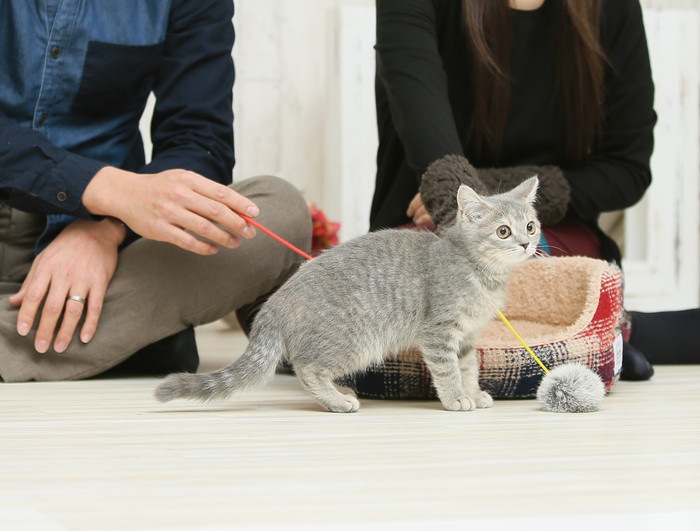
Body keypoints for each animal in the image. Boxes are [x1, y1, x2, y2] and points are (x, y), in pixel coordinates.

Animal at [156, 177, 540, 414]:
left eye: (530, 226)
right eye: (503, 231)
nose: (526, 243)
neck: (482, 275)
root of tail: (277, 302)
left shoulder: (467, 337)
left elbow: (468, 367)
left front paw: (472, 392)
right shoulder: (439, 332)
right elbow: (447, 371)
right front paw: (456, 398)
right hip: (356, 342)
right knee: (307, 368)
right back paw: (338, 401)